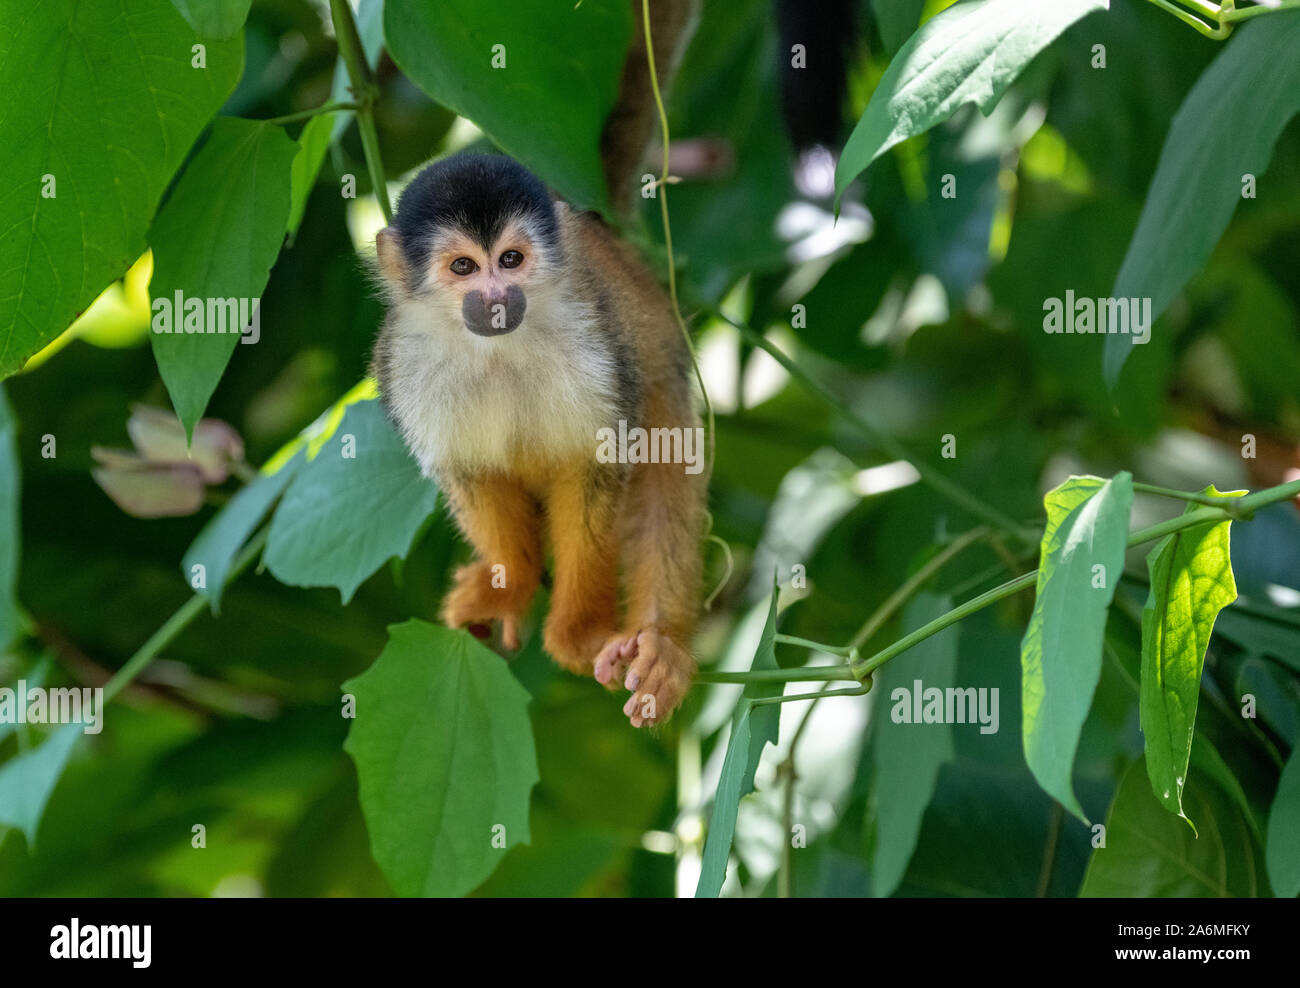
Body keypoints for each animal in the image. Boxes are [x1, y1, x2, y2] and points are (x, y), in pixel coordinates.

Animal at [371, 152, 707, 728]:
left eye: (510, 259)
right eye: (464, 267)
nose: (496, 299)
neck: (496, 351)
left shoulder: (598, 347)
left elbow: (595, 467)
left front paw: (581, 634)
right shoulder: (403, 364)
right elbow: (470, 472)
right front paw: (513, 583)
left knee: (665, 467)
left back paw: (660, 646)